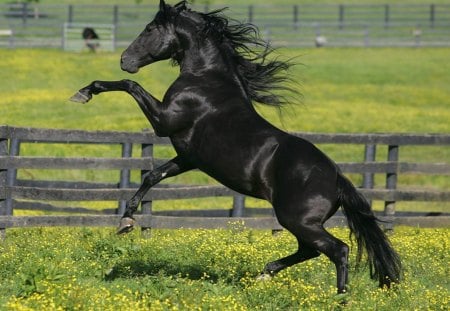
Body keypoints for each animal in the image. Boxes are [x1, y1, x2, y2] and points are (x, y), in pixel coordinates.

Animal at [70, 0, 400, 294]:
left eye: (150, 28)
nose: (125, 59)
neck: (205, 80)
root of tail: (337, 178)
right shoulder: (188, 157)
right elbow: (152, 175)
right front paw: (126, 220)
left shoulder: (164, 121)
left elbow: (130, 86)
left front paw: (84, 92)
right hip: (301, 222)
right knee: (310, 251)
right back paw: (265, 273)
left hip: (297, 220)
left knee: (337, 249)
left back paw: (340, 296)